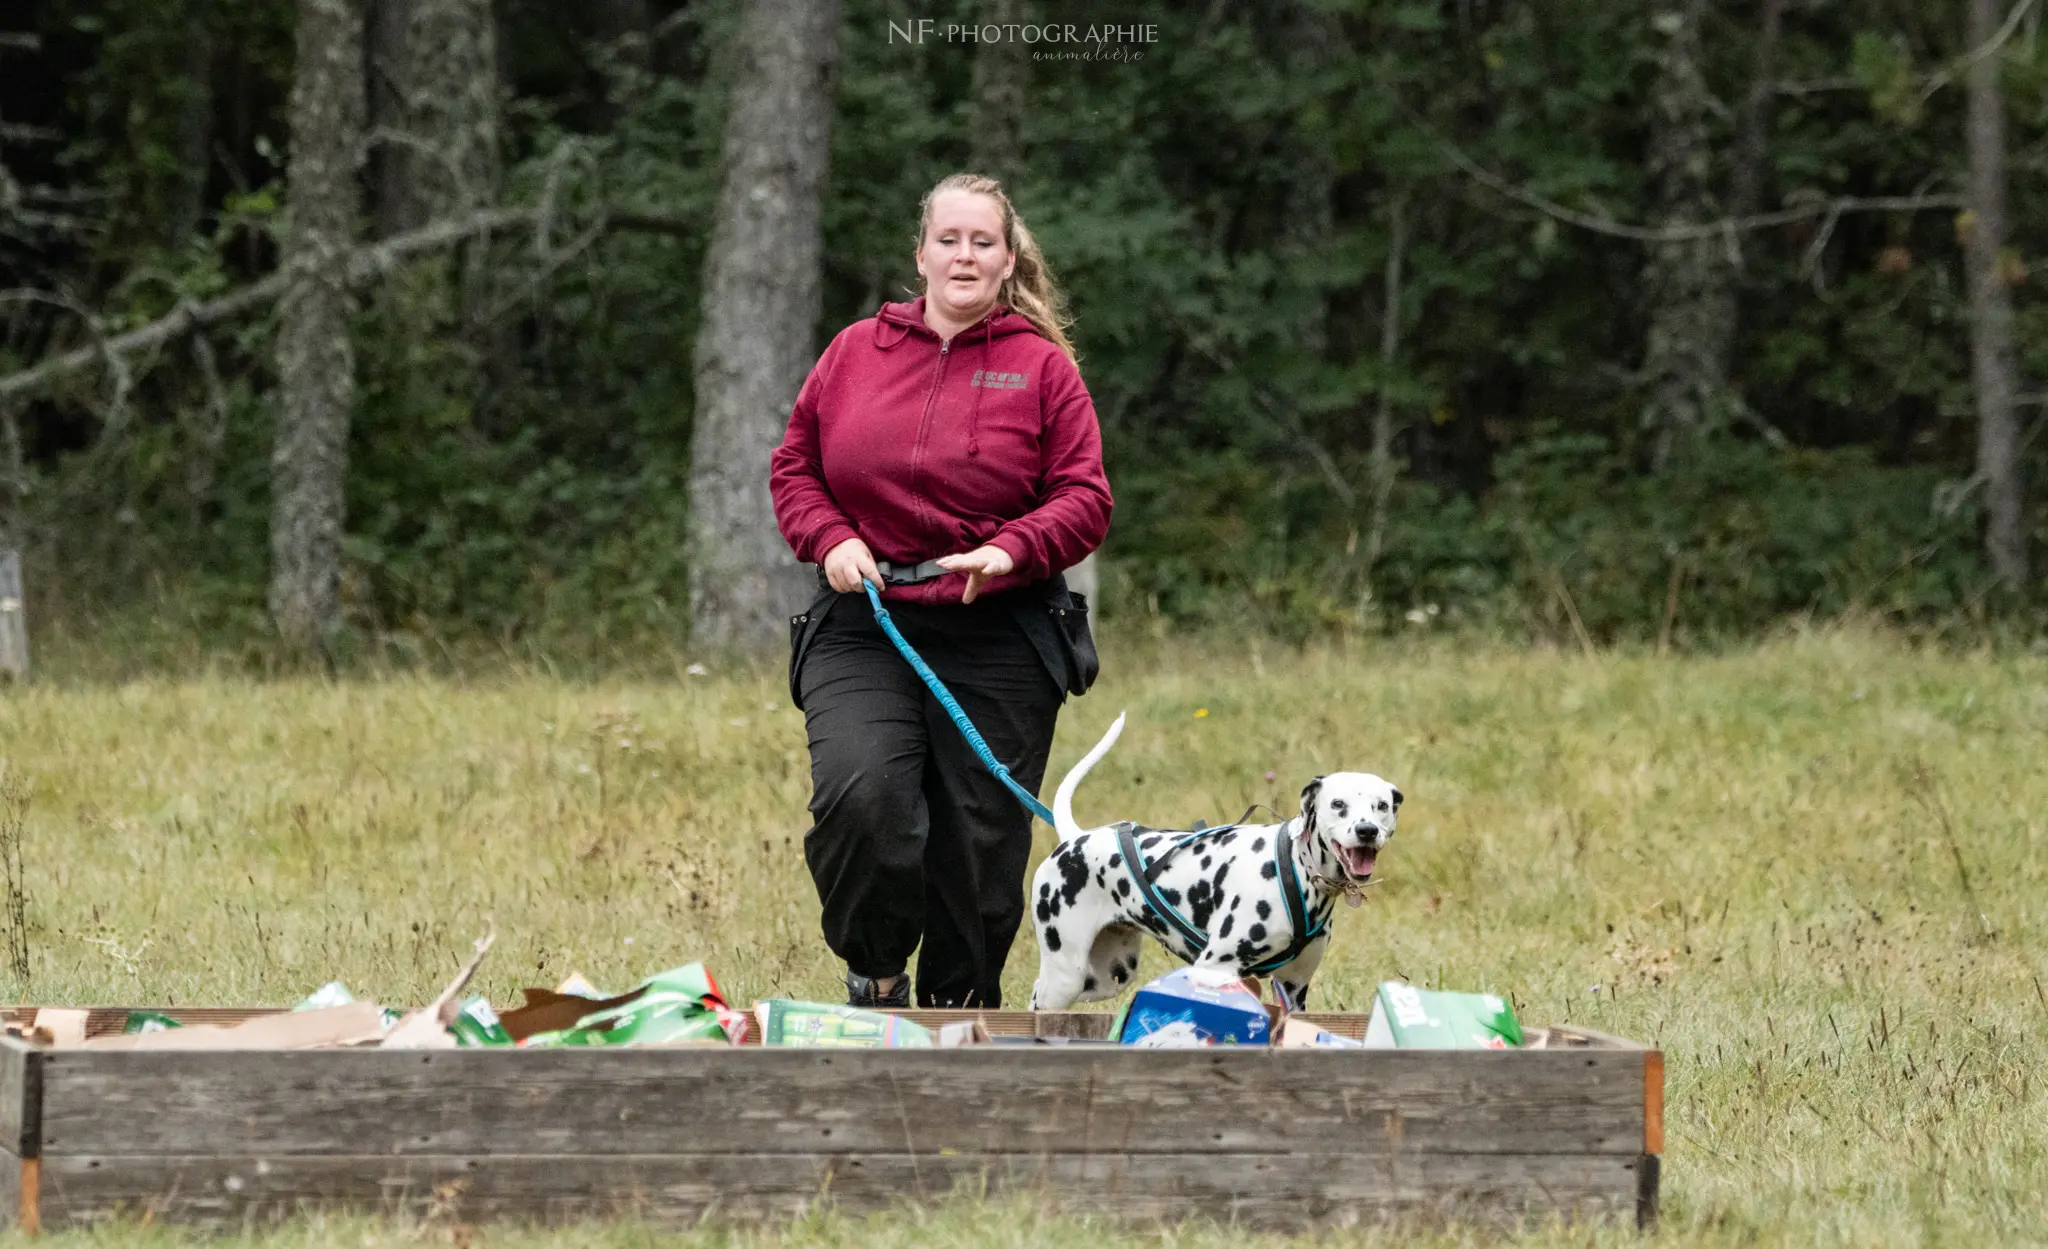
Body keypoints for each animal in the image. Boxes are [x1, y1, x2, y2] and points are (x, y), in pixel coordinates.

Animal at [1032, 708, 1400, 1011]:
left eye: (1381, 805)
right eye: (1338, 804)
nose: (1367, 831)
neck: (1297, 869)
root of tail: (1075, 837)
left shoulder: (1293, 987)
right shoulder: (1213, 968)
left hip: (1106, 977)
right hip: (1065, 976)